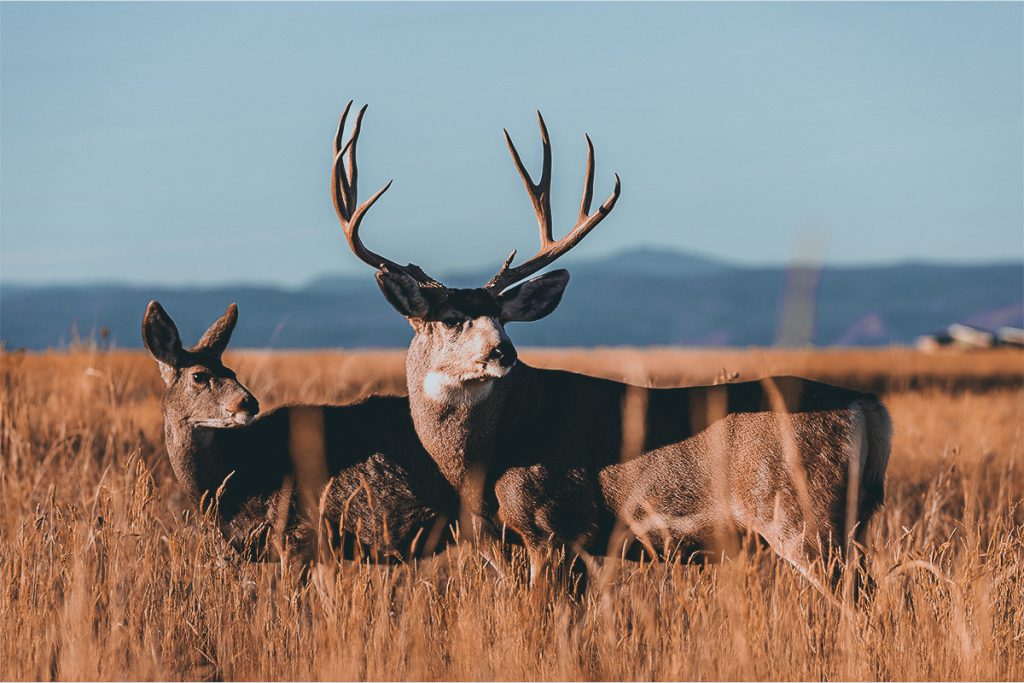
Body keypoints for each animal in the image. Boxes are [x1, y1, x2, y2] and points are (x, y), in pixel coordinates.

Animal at [329, 101, 892, 598]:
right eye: (449, 319)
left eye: (503, 318)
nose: (503, 353)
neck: (485, 457)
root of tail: (867, 406)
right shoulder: (509, 538)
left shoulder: (553, 522)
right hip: (851, 519)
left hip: (804, 515)